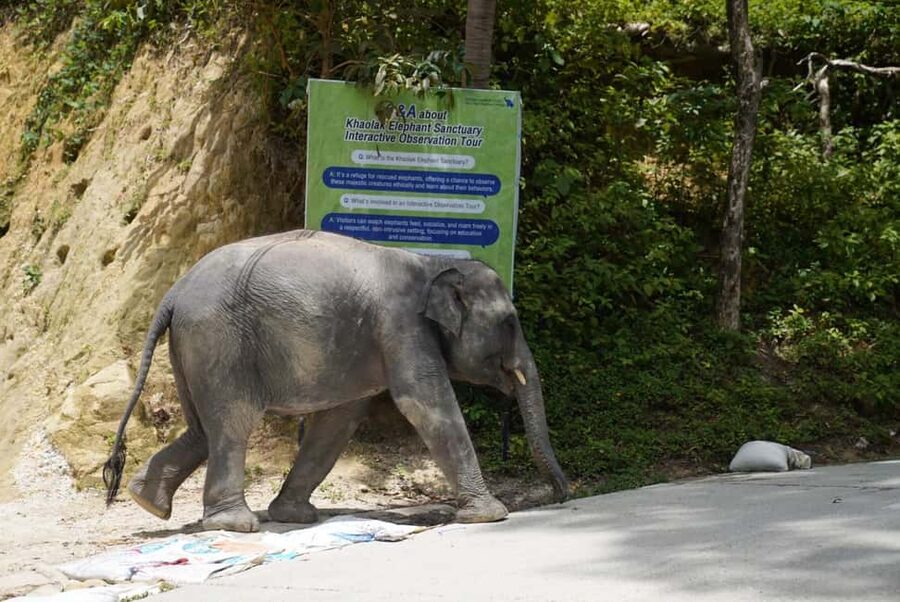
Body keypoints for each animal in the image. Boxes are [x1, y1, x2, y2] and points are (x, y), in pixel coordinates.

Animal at [103, 229, 568, 532]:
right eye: (510, 323)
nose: (562, 495)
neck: (431, 262)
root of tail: (174, 292)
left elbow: (339, 420)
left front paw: (294, 517)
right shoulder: (401, 326)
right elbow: (423, 403)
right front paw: (490, 515)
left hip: (192, 346)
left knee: (203, 428)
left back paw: (147, 500)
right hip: (218, 339)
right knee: (232, 424)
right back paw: (236, 524)